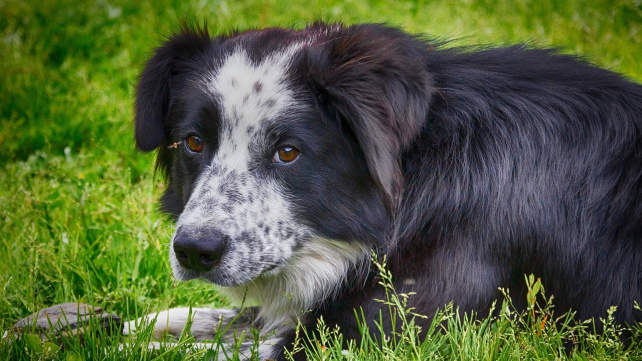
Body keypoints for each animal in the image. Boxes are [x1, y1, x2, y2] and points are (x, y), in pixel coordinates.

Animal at [126, 22, 640, 358]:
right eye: (194, 142)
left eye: (287, 152)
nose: (195, 251)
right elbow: (189, 319)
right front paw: (113, 324)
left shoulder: (394, 327)